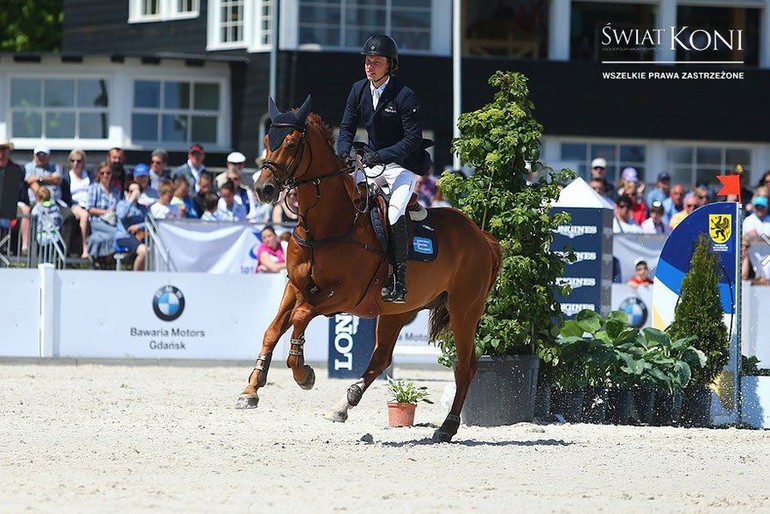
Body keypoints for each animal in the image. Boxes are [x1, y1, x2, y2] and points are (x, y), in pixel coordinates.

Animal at [240, 96, 500, 440]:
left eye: (293, 143)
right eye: (269, 142)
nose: (263, 189)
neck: (326, 224)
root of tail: (481, 235)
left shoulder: (343, 295)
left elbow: (301, 316)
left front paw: (303, 373)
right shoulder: (294, 287)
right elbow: (273, 330)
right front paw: (251, 390)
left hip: (464, 309)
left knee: (466, 365)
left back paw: (447, 427)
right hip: (398, 311)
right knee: (381, 357)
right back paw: (343, 404)